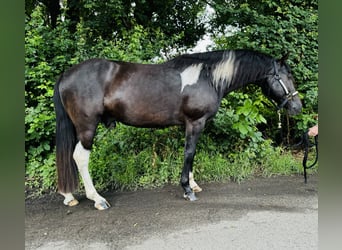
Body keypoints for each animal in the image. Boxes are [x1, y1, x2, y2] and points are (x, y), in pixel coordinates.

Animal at [52, 48, 302, 209]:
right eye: (287, 76)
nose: (297, 107)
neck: (208, 77)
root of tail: (66, 75)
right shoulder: (195, 122)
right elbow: (189, 153)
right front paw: (187, 190)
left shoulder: (192, 125)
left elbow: (192, 153)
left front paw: (193, 184)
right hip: (87, 128)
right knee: (80, 157)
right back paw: (97, 199)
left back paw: (68, 195)